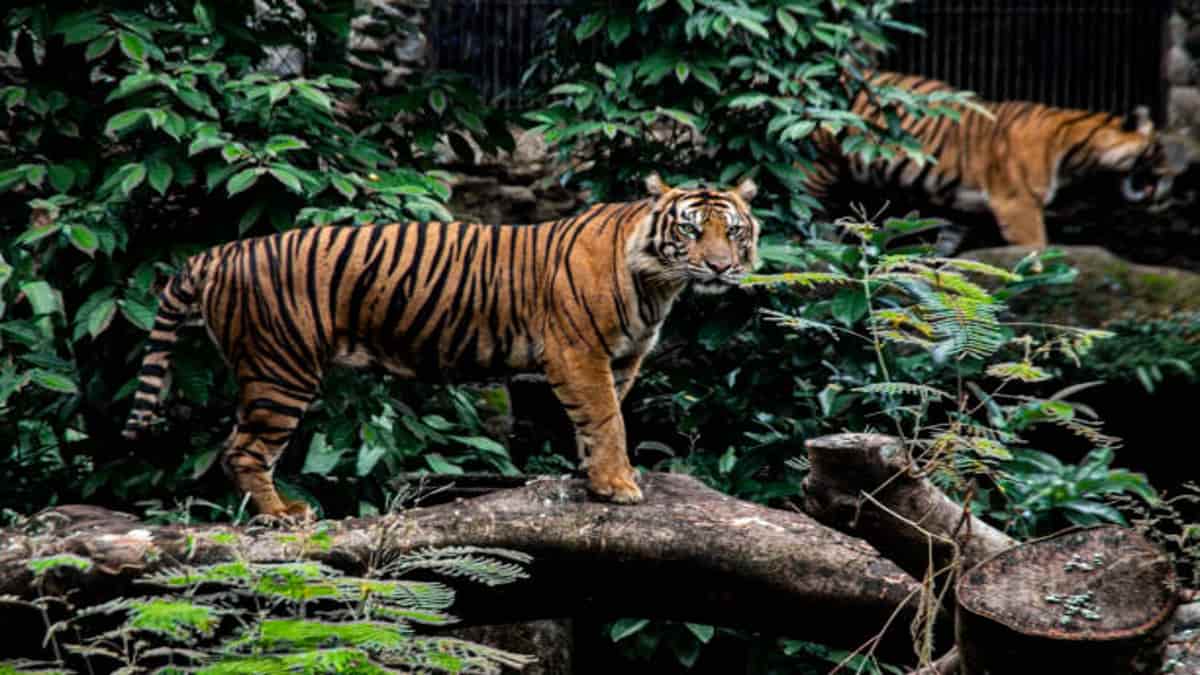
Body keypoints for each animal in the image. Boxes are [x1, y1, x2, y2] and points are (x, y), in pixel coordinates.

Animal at [121, 171, 758, 514]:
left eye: (734, 231)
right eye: (690, 230)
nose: (721, 267)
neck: (658, 284)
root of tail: (218, 253)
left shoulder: (623, 358)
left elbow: (601, 419)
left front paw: (591, 476)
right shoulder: (579, 354)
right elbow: (607, 419)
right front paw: (618, 485)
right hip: (281, 369)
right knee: (243, 449)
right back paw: (281, 515)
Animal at [796, 70, 1180, 249]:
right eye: (1158, 149)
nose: (1171, 180)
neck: (1076, 151)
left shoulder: (960, 209)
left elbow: (945, 250)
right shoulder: (1018, 204)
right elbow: (1037, 250)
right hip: (813, 170)